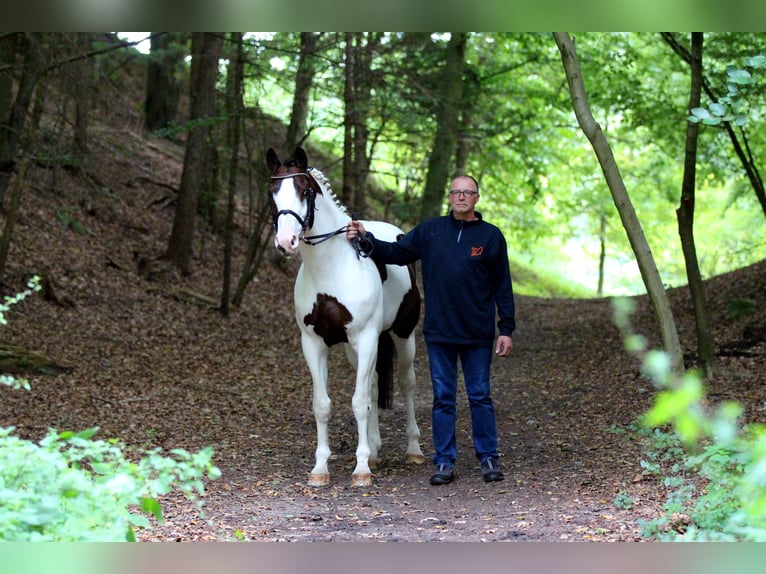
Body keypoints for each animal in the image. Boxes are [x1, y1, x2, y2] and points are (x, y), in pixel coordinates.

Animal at [266, 146, 425, 487]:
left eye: (305, 191)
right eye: (272, 192)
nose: (286, 242)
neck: (332, 268)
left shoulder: (365, 338)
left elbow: (358, 402)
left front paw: (361, 469)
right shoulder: (314, 343)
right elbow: (324, 405)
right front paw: (320, 469)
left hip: (402, 335)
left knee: (407, 384)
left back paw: (413, 449)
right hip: (359, 349)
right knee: (375, 385)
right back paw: (375, 451)